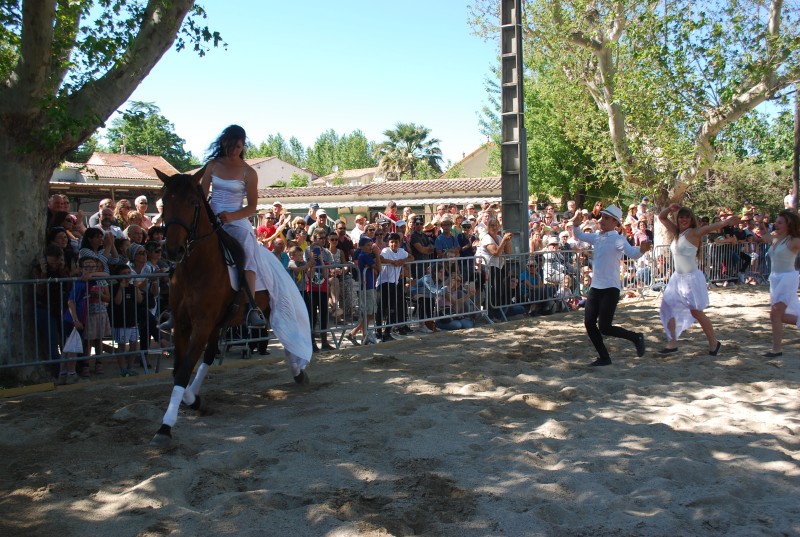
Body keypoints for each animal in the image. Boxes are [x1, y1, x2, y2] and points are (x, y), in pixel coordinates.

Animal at [152, 170, 270, 446]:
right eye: (165, 201)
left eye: (192, 203)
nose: (173, 250)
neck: (194, 268)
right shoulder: (183, 324)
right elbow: (179, 370)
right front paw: (191, 401)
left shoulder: (202, 324)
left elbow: (183, 371)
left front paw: (165, 426)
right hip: (219, 323)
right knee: (210, 354)